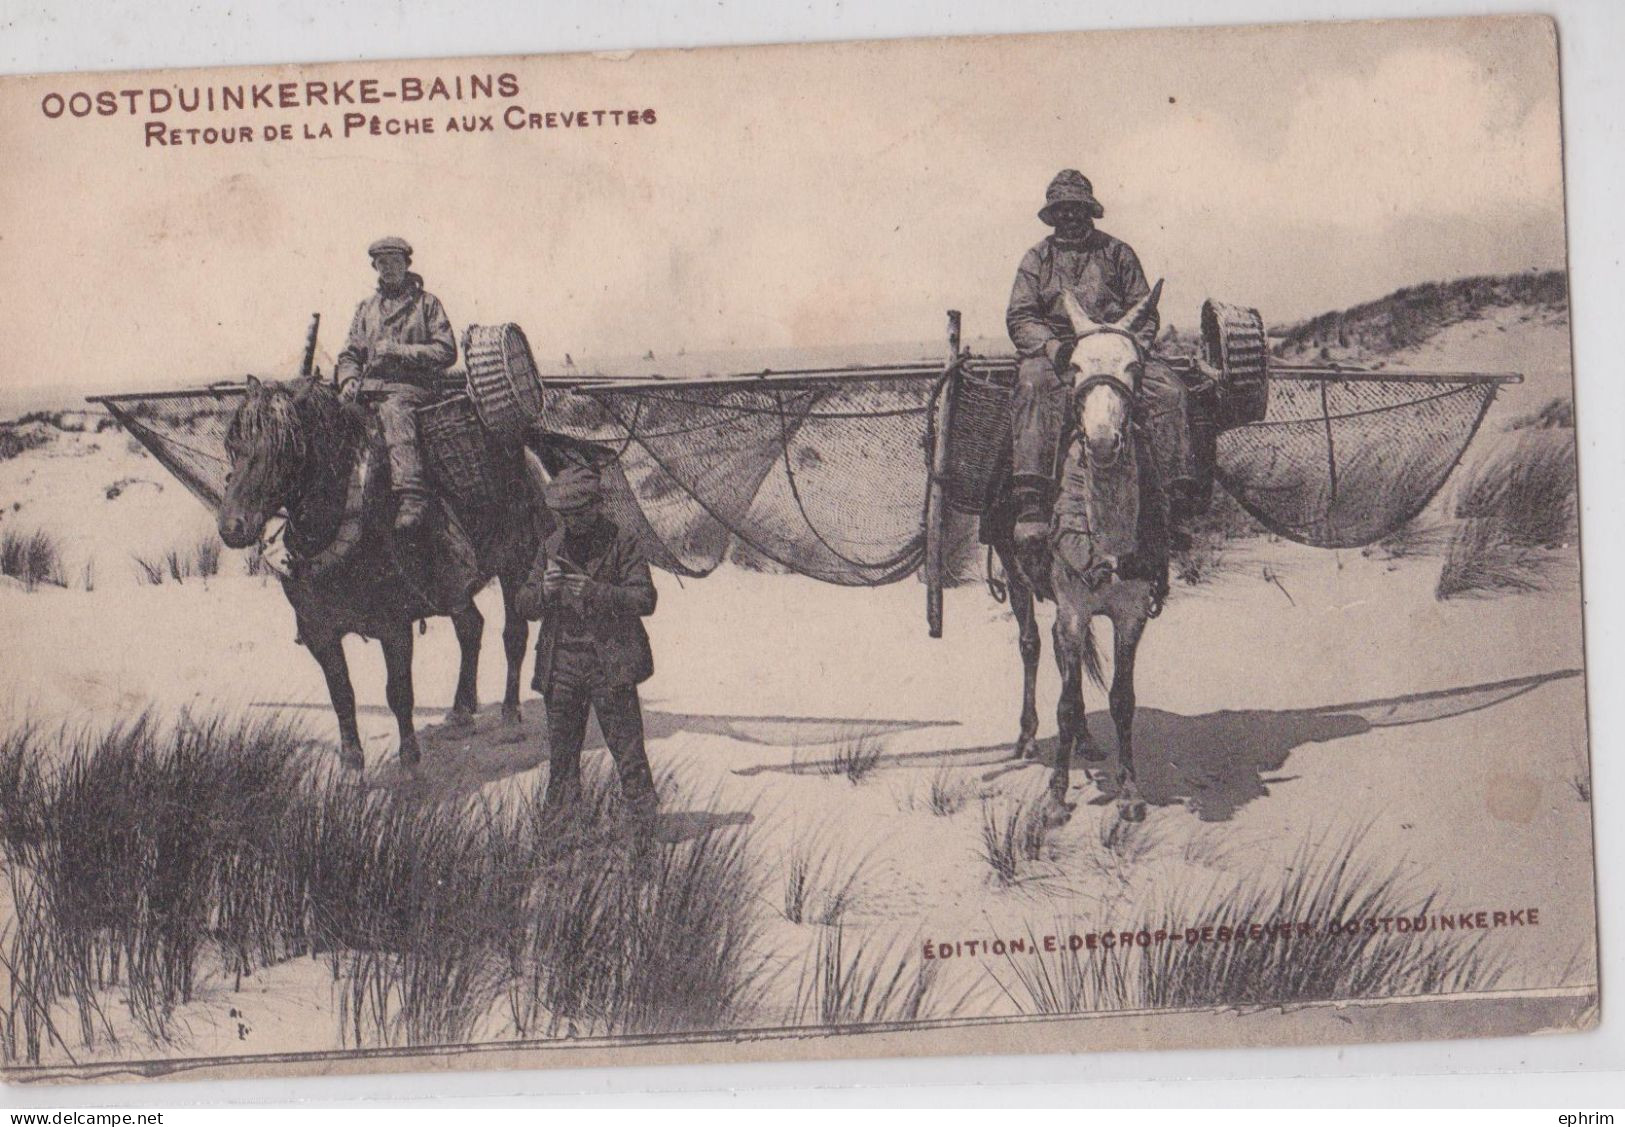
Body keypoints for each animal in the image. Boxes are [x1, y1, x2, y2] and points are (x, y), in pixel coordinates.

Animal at [217, 379, 539, 776]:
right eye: (233, 446)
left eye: (284, 451)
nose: (232, 527)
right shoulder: (319, 633)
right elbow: (342, 693)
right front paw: (351, 764)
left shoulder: (394, 627)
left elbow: (398, 692)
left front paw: (410, 762)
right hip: (454, 588)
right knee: (471, 628)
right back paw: (462, 712)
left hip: (514, 566)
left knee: (514, 635)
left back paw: (510, 715)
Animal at [975, 282, 1170, 831]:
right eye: (1077, 367)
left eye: (1134, 366)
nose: (1102, 442)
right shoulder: (1072, 609)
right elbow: (1063, 700)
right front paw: (1056, 796)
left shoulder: (1130, 615)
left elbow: (1122, 700)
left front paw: (1129, 792)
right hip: (1019, 577)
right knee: (1032, 646)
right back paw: (1026, 738)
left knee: (1074, 666)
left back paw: (1085, 739)